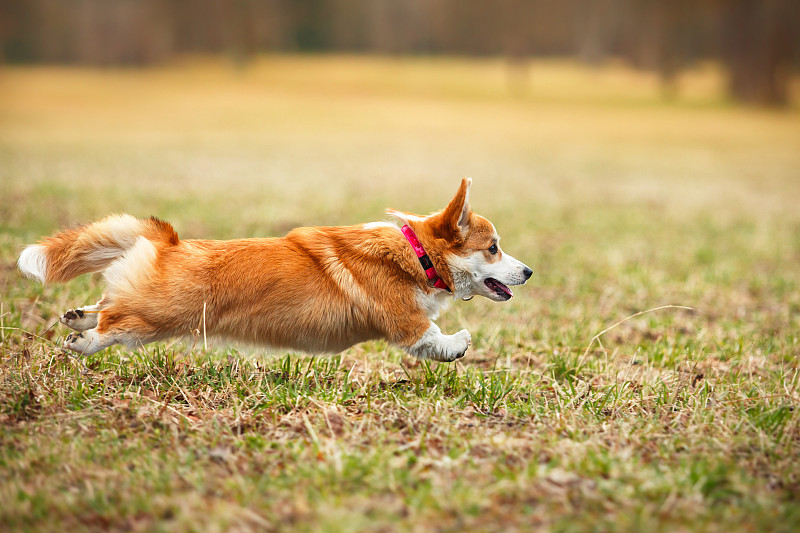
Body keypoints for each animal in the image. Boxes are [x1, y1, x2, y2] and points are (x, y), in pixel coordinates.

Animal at [17, 179, 532, 362]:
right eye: (493, 248)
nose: (528, 272)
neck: (417, 252)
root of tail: (170, 242)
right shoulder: (405, 322)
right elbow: (433, 336)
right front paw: (458, 344)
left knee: (104, 304)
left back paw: (76, 319)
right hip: (157, 315)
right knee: (115, 323)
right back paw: (83, 341)